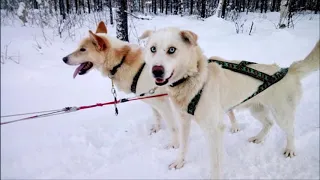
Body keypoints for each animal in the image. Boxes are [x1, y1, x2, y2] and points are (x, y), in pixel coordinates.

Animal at [140, 27, 320, 179]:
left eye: (172, 49)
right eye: (153, 49)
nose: (156, 71)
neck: (195, 79)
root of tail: (288, 70)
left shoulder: (214, 130)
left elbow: (215, 162)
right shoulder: (184, 121)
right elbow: (183, 146)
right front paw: (179, 163)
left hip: (282, 114)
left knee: (290, 131)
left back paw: (290, 149)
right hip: (256, 109)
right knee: (269, 123)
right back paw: (258, 138)